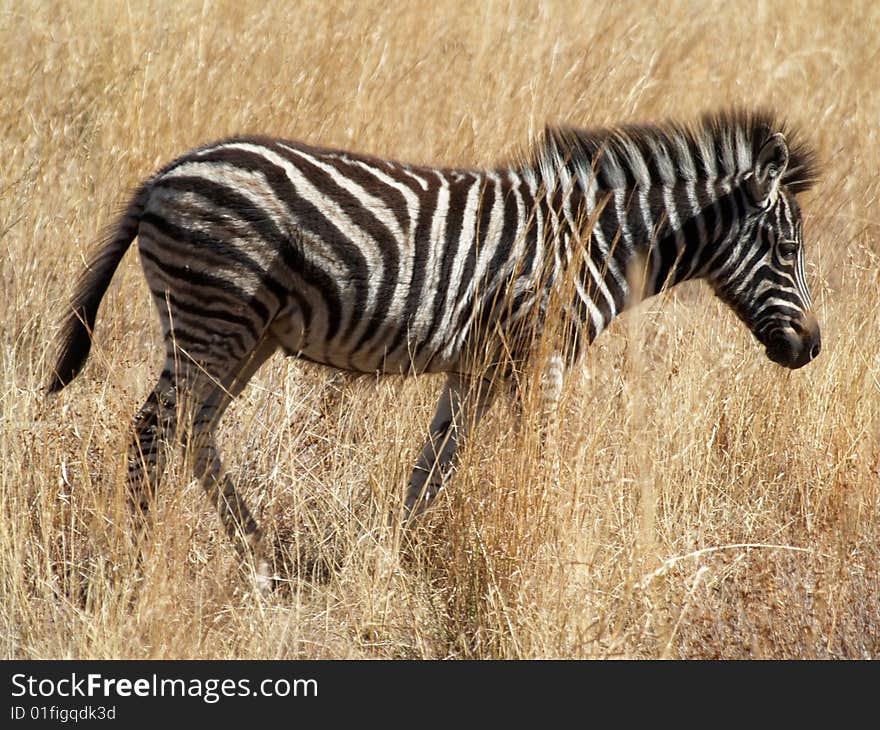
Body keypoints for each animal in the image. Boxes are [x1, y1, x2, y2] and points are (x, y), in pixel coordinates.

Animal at [46, 108, 820, 584]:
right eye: (786, 251)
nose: (811, 348)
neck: (594, 243)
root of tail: (164, 175)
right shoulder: (541, 355)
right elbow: (540, 459)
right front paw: (555, 550)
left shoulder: (481, 367)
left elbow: (436, 465)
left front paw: (394, 560)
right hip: (214, 316)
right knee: (154, 430)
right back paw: (136, 564)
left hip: (246, 334)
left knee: (194, 432)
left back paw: (261, 559)